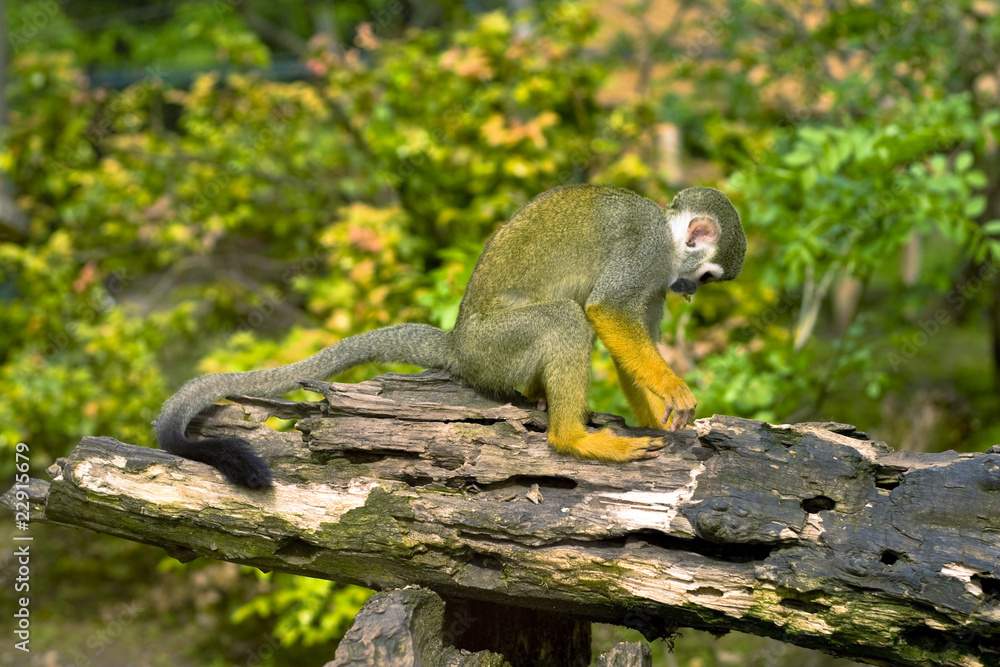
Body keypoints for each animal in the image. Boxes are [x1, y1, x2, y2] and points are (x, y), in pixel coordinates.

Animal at [156, 184, 746, 488]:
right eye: (707, 277)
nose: (689, 292)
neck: (667, 237)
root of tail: (458, 345)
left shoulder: (655, 280)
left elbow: (627, 330)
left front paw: (656, 415)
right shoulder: (645, 251)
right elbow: (606, 311)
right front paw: (674, 392)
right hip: (496, 350)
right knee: (564, 319)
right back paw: (572, 439)